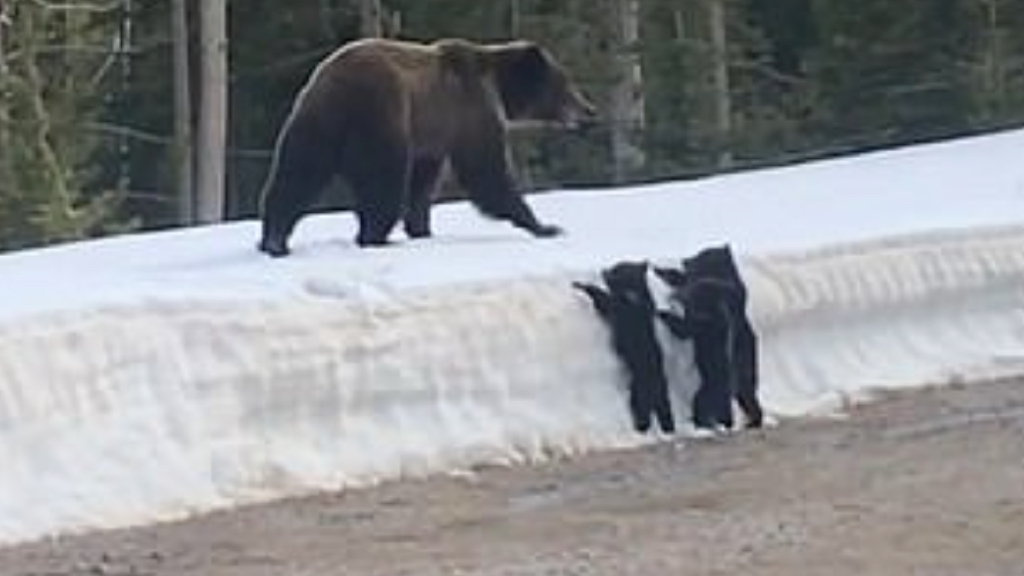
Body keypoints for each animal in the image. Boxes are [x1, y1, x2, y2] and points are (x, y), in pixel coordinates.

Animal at [256, 36, 598, 256]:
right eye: (565, 84)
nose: (590, 111)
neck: (500, 88)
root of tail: (336, 83)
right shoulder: (470, 112)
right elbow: (486, 171)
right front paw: (545, 226)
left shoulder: (433, 136)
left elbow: (424, 182)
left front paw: (421, 228)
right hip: (381, 115)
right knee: (383, 181)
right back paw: (375, 237)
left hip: (314, 124)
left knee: (296, 175)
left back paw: (274, 240)